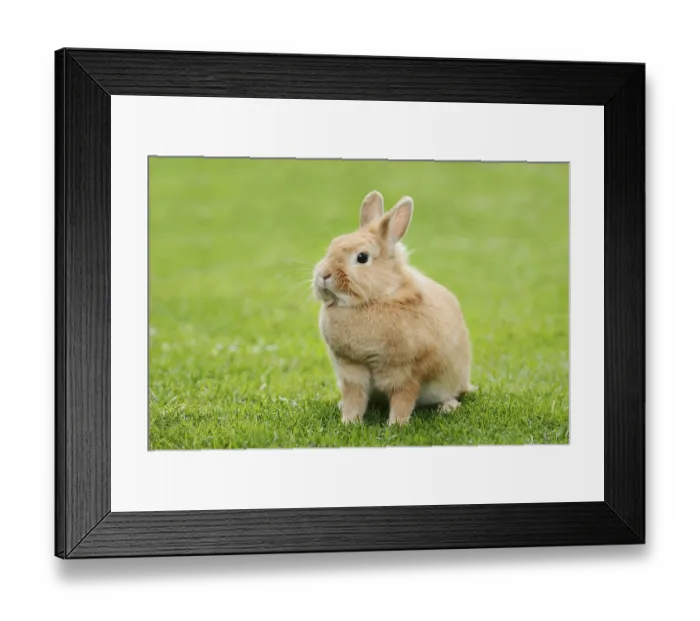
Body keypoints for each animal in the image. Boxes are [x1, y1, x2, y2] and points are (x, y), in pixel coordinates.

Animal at [313, 190, 475, 425]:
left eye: (362, 257)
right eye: (331, 246)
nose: (324, 275)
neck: (374, 300)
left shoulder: (404, 372)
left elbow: (402, 399)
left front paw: (396, 425)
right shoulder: (351, 371)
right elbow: (354, 398)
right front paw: (349, 421)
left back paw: (447, 408)